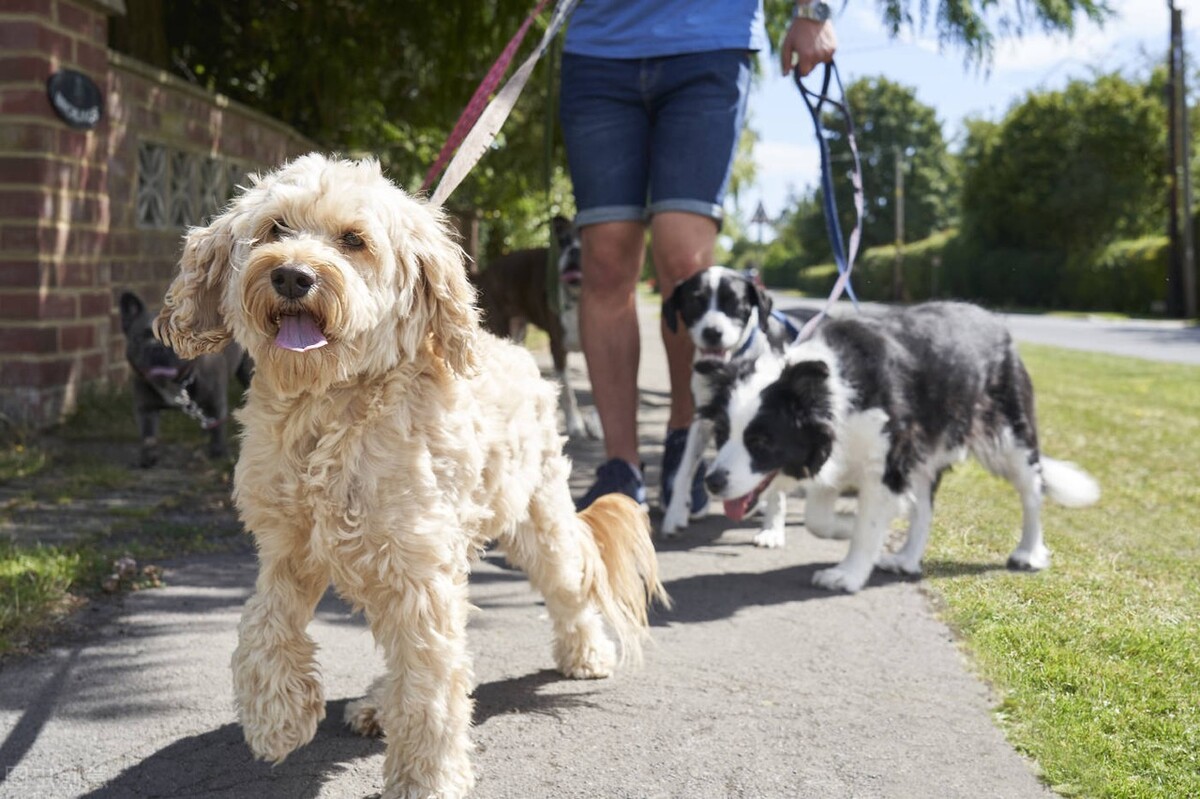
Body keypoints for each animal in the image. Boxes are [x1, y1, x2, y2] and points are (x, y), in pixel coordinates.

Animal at [118, 289, 252, 467]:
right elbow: (148, 435)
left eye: (173, 337)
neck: (176, 384)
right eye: (140, 338)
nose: (157, 348)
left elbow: (217, 428)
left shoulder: (215, 403)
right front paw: (147, 457)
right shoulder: (145, 408)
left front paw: (218, 453)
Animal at [152, 152, 667, 791]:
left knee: (569, 586)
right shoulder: (290, 549)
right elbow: (262, 623)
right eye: (275, 228)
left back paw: (586, 653)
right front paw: (277, 716)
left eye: (353, 240)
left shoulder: (417, 570)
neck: (329, 408)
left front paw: (426, 779)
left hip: (537, 519)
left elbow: (430, 681)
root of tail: (519, 353)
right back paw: (376, 703)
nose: (292, 276)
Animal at [657, 267, 816, 542]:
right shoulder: (704, 419)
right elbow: (684, 469)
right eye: (695, 301)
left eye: (734, 303)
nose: (712, 332)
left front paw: (772, 529)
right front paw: (675, 515)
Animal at [700, 302, 1099, 587]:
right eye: (721, 433)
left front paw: (847, 573)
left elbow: (868, 522)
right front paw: (847, 528)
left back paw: (1028, 552)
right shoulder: (841, 452)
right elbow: (817, 519)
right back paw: (906, 558)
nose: (712, 482)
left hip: (1010, 435)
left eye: (761, 440)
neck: (831, 387)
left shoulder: (886, 461)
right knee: (925, 506)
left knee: (1031, 492)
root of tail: (997, 323)